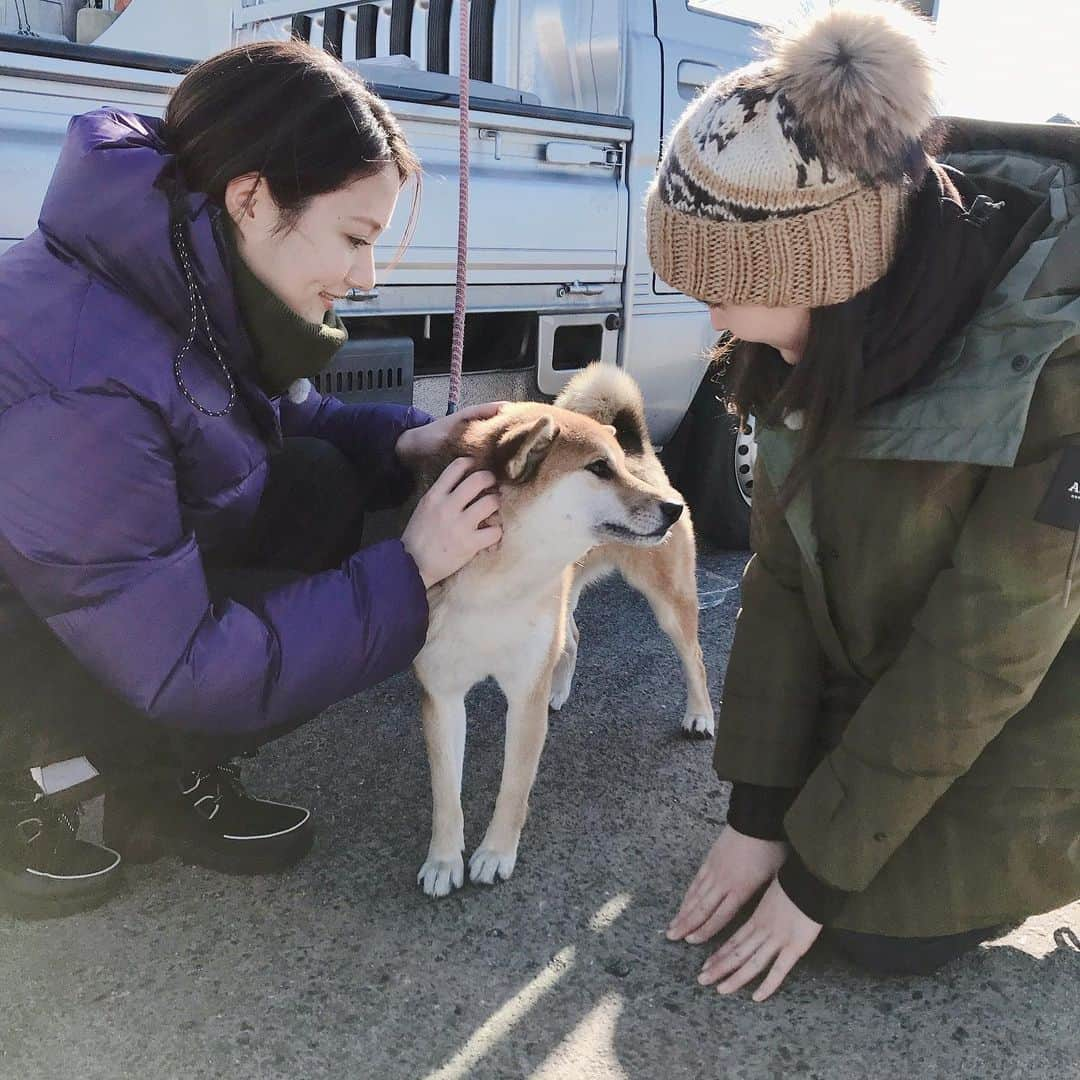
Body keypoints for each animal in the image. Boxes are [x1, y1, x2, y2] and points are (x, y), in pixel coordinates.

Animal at [416, 367, 712, 898]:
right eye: (598, 468)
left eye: (616, 467)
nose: (672, 509)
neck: (500, 579)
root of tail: (643, 449)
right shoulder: (442, 693)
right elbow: (446, 793)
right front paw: (445, 860)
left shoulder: (523, 697)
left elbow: (514, 786)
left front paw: (495, 854)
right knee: (572, 637)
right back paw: (560, 688)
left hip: (668, 599)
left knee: (693, 657)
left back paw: (699, 715)